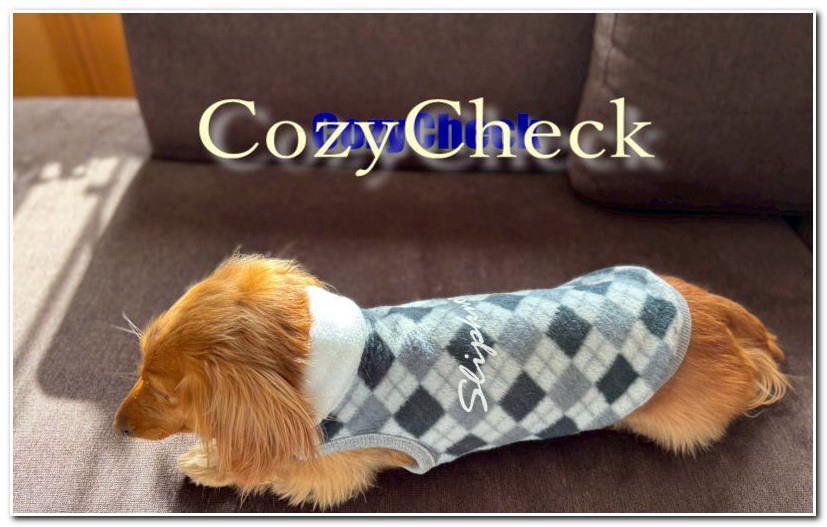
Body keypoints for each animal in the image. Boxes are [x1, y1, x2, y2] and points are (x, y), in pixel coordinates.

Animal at [113, 254, 789, 509]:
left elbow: (282, 468)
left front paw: (208, 460)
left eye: (167, 393)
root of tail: (710, 309)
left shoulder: (333, 468)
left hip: (676, 420)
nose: (115, 427)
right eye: (139, 366)